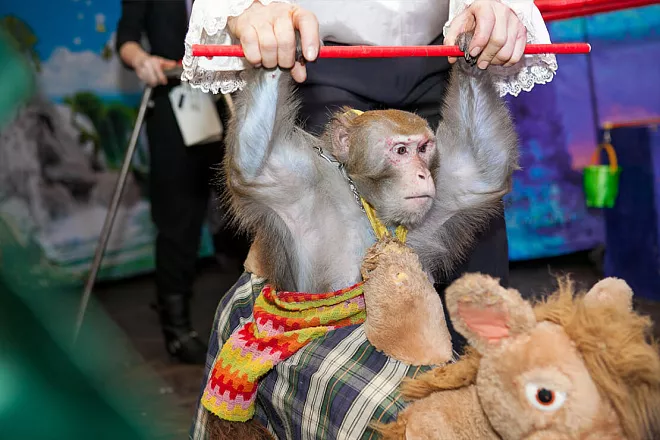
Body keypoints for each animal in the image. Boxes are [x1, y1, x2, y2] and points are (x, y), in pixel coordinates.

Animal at [222, 31, 520, 296]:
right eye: (401, 150)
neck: (366, 203)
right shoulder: (297, 183)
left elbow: (482, 174)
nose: (423, 175)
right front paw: (274, 50)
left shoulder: (441, 188)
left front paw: (476, 48)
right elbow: (254, 169)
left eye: (423, 149)